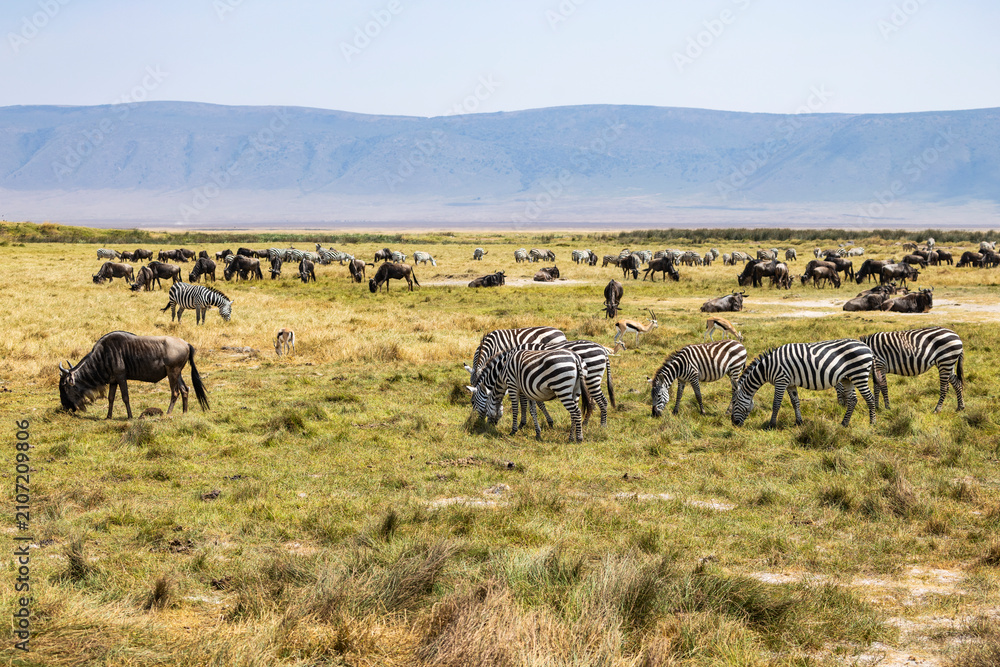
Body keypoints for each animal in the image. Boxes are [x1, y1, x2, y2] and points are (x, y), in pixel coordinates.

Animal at [730, 339, 878, 429]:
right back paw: (844, 423)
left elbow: (776, 403)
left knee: (870, 398)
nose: (733, 423)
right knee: (853, 400)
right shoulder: (790, 384)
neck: (767, 368)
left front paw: (771, 425)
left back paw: (872, 423)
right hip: (848, 378)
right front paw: (799, 422)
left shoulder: (781, 380)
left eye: (734, 402)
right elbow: (795, 402)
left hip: (859, 375)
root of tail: (868, 348)